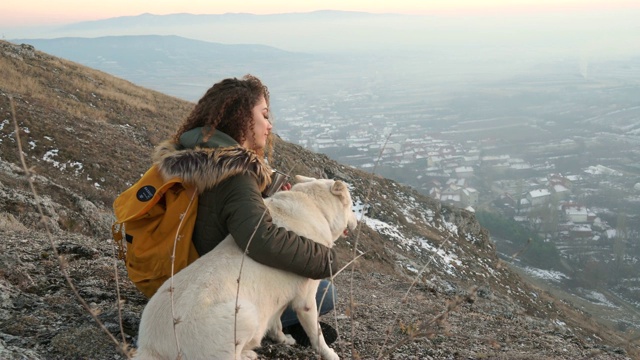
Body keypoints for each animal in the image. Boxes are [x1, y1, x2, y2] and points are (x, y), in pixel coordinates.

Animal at [134, 176, 358, 358]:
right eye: (351, 207)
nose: (356, 223)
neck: (315, 206)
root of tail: (150, 347)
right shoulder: (306, 300)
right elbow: (316, 335)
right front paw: (330, 354)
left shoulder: (279, 299)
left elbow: (276, 323)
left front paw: (282, 339)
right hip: (246, 314)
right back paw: (248, 354)